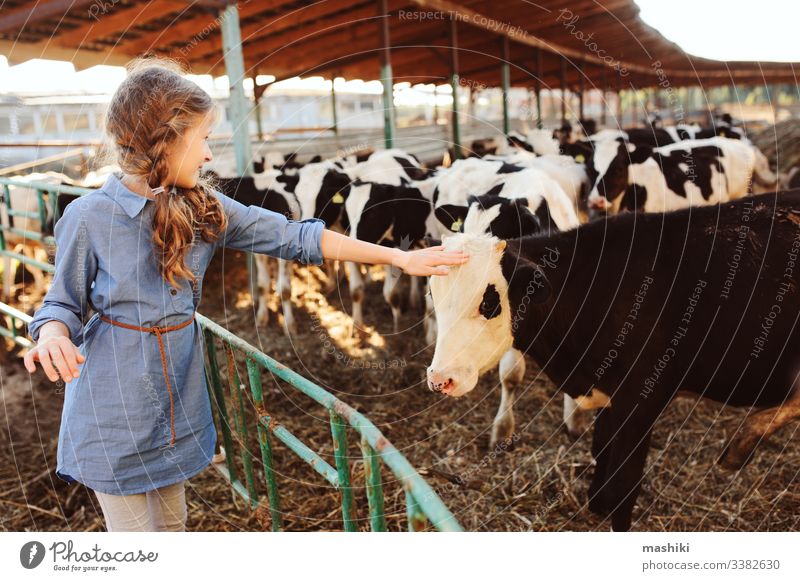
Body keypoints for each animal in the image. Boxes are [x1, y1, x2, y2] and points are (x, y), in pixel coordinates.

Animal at [428, 191, 800, 532]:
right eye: (434, 295)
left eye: (489, 303)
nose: (439, 378)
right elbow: (601, 451)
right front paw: (596, 502)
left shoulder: (641, 401)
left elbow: (625, 483)